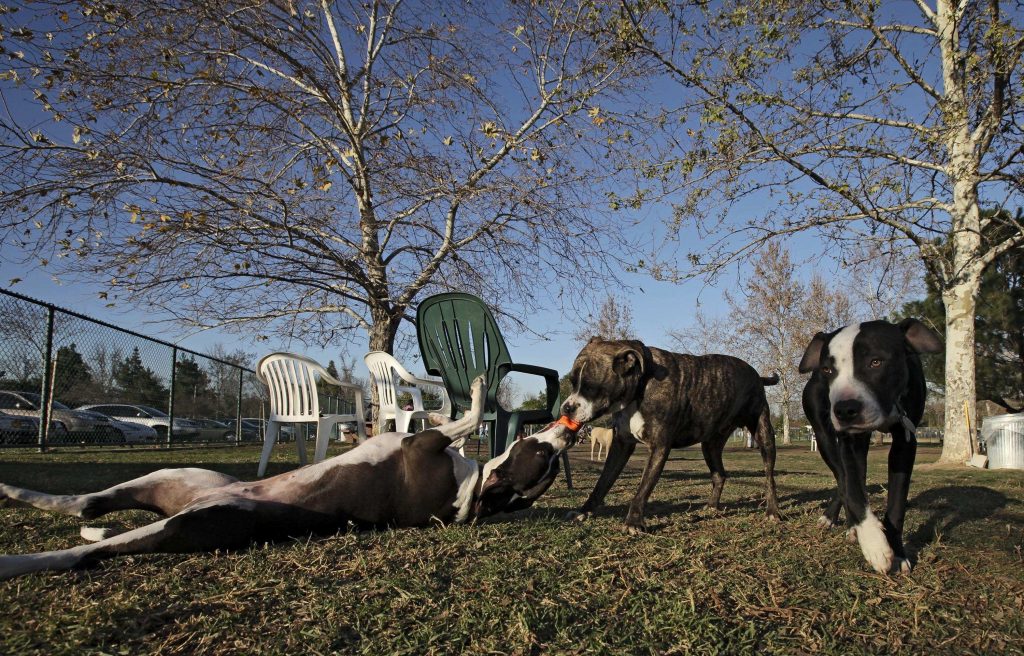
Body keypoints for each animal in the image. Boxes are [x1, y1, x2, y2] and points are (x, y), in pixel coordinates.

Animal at [0, 372, 577, 577]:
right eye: (540, 456)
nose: (566, 435)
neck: (473, 493)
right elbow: (441, 412)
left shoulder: (422, 445)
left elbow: (466, 414)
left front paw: (475, 389)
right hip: (180, 474)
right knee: (87, 503)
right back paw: (19, 490)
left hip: (199, 519)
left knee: (84, 551)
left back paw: (21, 557)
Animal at [798, 319, 942, 573]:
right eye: (827, 370)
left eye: (876, 362)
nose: (845, 409)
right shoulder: (847, 441)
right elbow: (852, 489)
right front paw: (874, 544)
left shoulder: (905, 443)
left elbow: (896, 503)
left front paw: (897, 553)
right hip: (825, 438)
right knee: (843, 478)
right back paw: (845, 523)